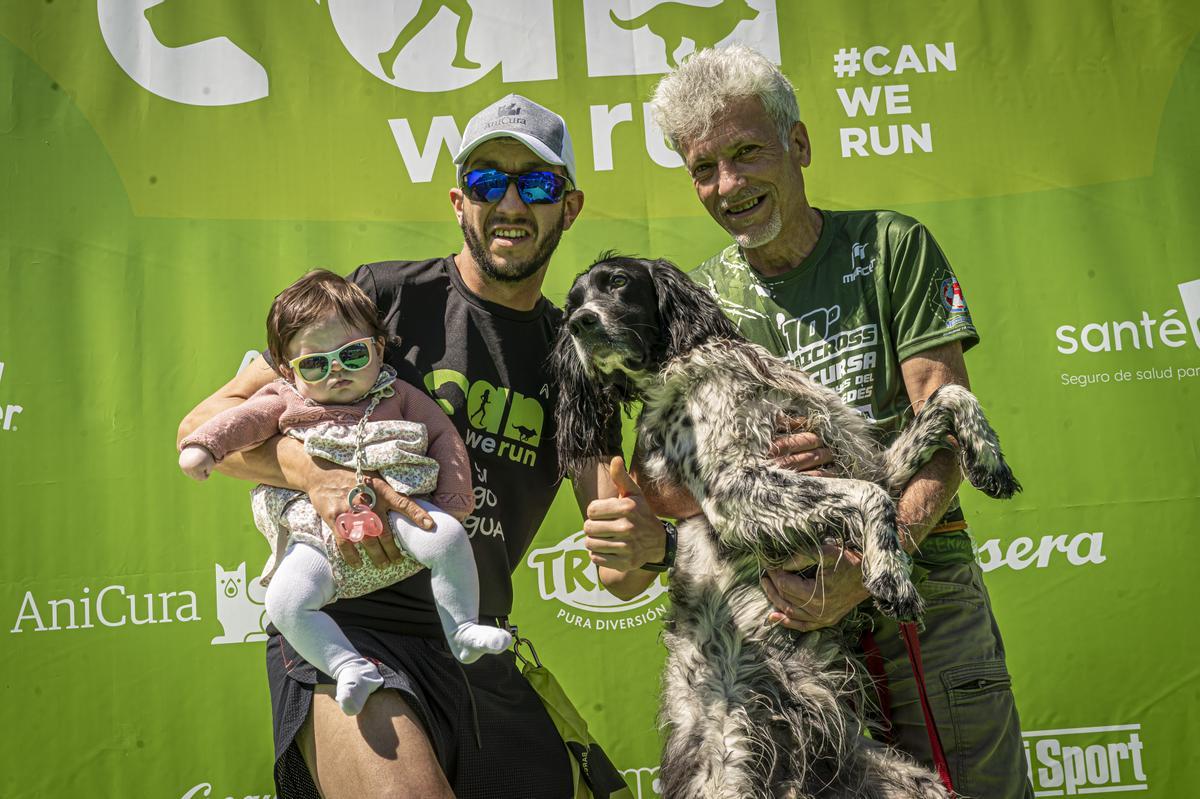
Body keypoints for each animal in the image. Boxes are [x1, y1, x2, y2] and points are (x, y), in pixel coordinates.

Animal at [552, 255, 1022, 796]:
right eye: (571, 304)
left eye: (617, 282)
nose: (580, 323)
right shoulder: (733, 490)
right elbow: (871, 497)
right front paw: (891, 576)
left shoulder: (864, 463)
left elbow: (949, 393)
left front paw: (989, 460)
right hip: (728, 769)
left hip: (908, 782)